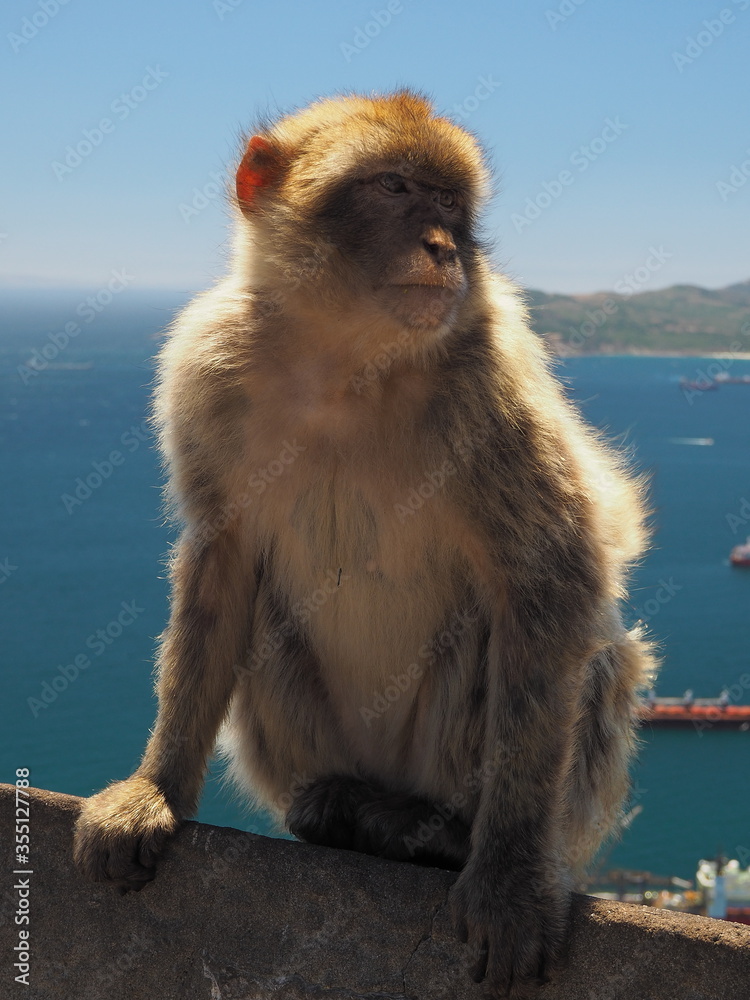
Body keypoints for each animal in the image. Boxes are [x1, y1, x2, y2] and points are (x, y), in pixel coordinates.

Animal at [73, 91, 655, 997]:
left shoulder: (491, 383)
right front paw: (155, 788)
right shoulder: (207, 368)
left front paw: (511, 879)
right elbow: (223, 558)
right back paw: (343, 809)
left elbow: (552, 579)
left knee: (571, 650)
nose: (444, 247)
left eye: (450, 201)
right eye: (395, 188)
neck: (345, 359)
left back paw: (436, 834)